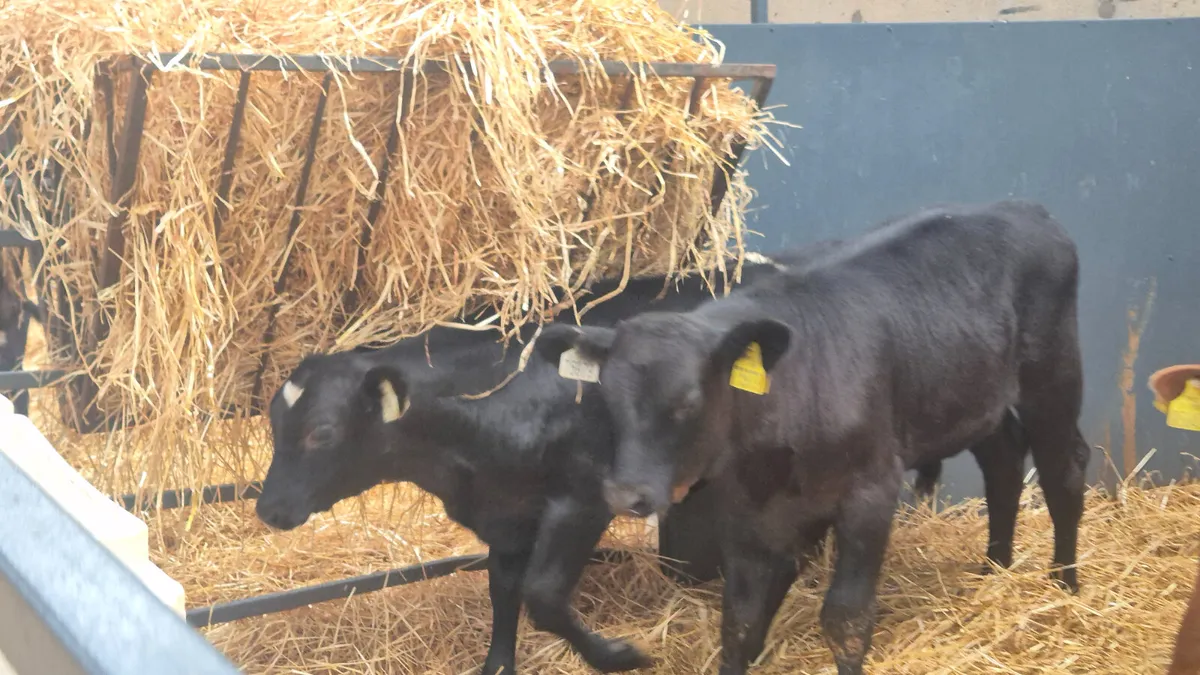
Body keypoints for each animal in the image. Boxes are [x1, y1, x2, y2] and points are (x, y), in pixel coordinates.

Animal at [535, 200, 1089, 675]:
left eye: (688, 402)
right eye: (607, 397)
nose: (624, 493)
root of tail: (1023, 208)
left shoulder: (871, 492)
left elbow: (845, 617)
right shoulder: (748, 513)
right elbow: (739, 619)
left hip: (1052, 374)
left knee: (1064, 472)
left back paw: (1064, 585)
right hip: (973, 397)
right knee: (1004, 460)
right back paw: (994, 572)